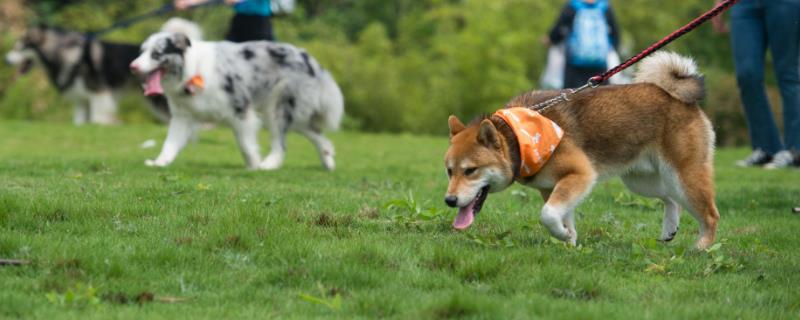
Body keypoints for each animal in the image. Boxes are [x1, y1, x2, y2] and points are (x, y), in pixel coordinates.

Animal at [131, 32, 344, 171]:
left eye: (156, 54)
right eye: (141, 51)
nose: (132, 66)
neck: (191, 70)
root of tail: (309, 59)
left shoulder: (241, 110)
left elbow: (245, 145)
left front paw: (254, 165)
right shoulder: (183, 117)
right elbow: (170, 143)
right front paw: (159, 163)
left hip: (278, 108)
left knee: (280, 143)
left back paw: (269, 164)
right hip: (290, 112)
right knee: (316, 133)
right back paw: (328, 160)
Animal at [444, 51, 720, 249]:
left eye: (470, 170)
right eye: (449, 171)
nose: (449, 200)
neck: (518, 139)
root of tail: (680, 99)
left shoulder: (581, 174)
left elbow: (547, 215)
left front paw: (565, 236)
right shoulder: (552, 187)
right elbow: (561, 216)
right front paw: (569, 240)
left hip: (683, 175)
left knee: (711, 214)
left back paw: (701, 248)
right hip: (642, 181)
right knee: (671, 199)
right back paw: (669, 230)